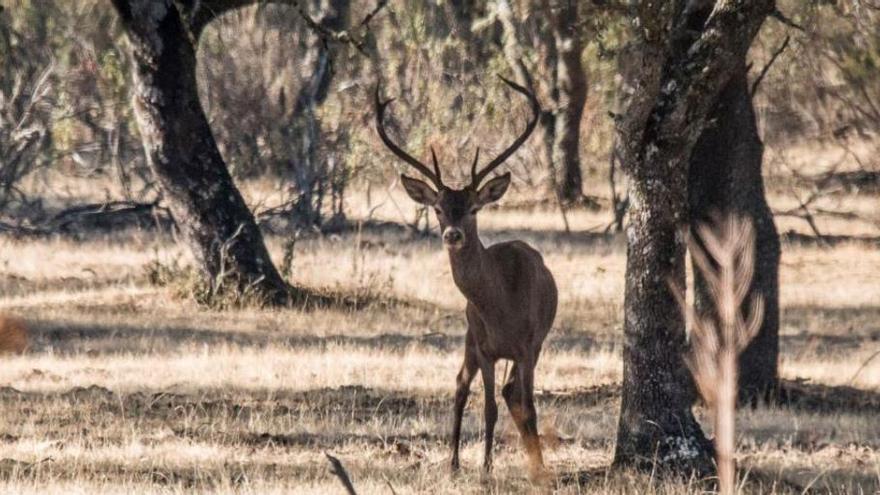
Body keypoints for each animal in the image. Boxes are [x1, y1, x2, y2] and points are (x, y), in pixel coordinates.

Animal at [372, 74, 556, 480]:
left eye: (473, 208)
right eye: (438, 208)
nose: (452, 234)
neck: (502, 306)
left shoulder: (528, 344)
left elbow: (528, 405)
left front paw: (538, 470)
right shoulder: (485, 346)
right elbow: (487, 408)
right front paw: (485, 468)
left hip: (526, 346)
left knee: (510, 393)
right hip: (470, 337)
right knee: (460, 385)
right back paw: (454, 463)